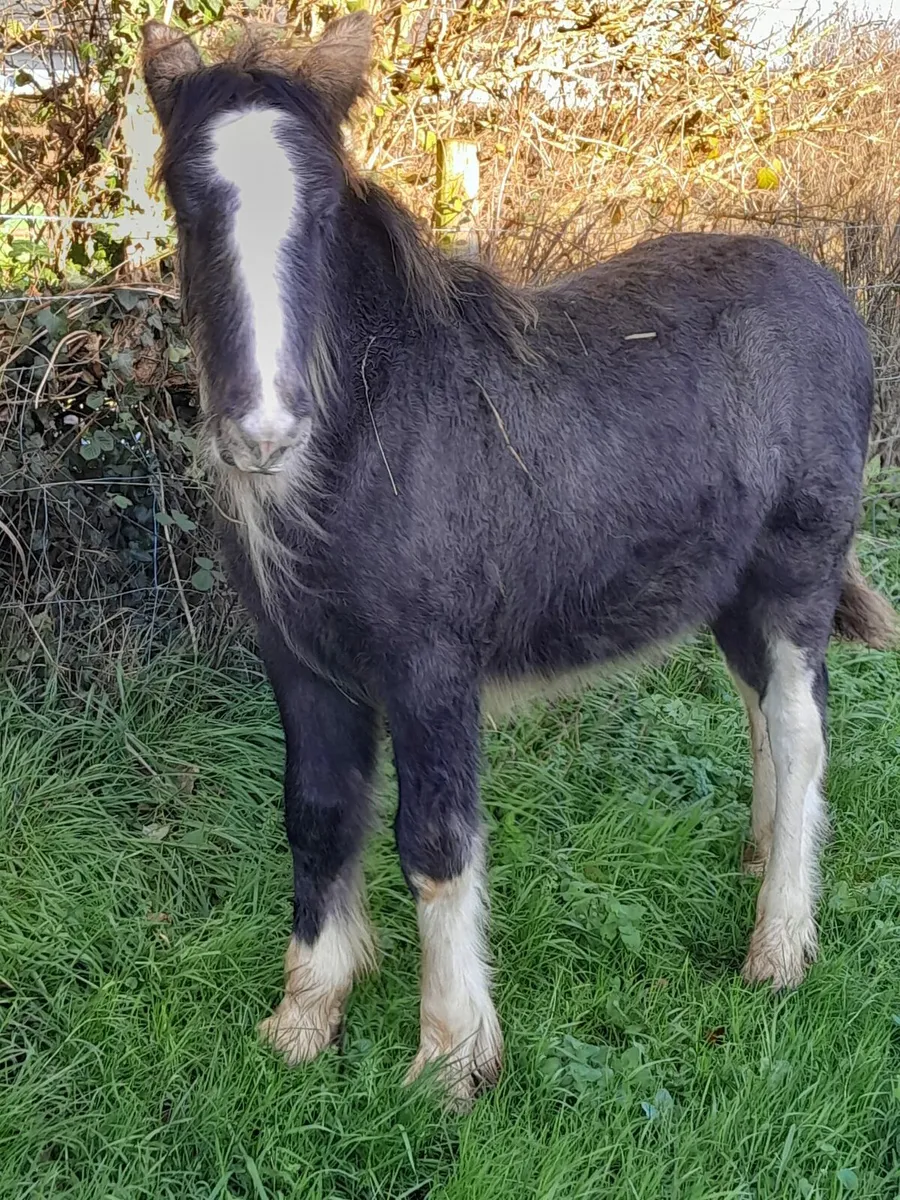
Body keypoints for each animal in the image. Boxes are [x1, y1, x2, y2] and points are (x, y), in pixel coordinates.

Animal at [142, 11, 896, 1106]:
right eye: (187, 199)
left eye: (321, 207)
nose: (261, 432)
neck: (366, 442)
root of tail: (832, 295)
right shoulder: (301, 668)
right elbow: (318, 816)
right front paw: (304, 1017)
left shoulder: (430, 671)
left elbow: (435, 844)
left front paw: (450, 1059)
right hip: (726, 595)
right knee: (762, 718)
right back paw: (758, 865)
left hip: (795, 576)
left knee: (800, 733)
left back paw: (779, 949)